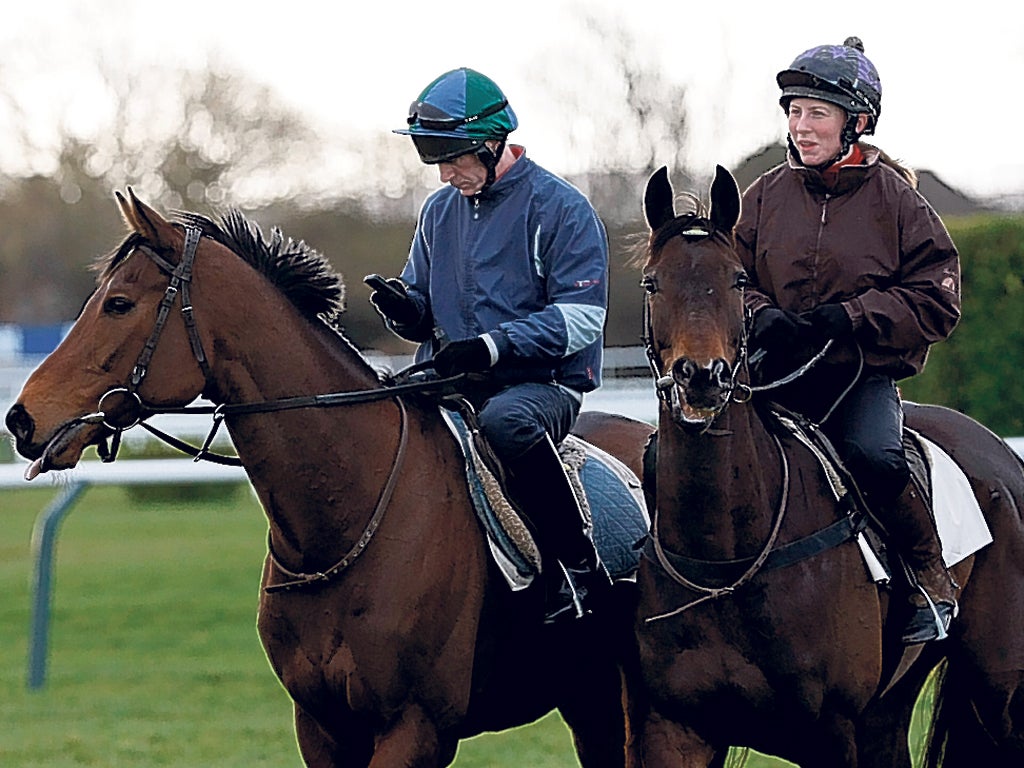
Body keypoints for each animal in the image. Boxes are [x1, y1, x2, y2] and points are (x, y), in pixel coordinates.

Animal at [4, 191, 651, 768]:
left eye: (117, 303)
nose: (22, 418)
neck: (342, 522)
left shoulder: (415, 728)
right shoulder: (320, 727)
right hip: (589, 699)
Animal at [630, 165, 1024, 765]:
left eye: (737, 280)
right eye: (653, 282)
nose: (702, 377)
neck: (728, 559)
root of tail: (1002, 454)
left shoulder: (831, 731)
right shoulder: (675, 729)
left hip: (1001, 685)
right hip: (890, 710)